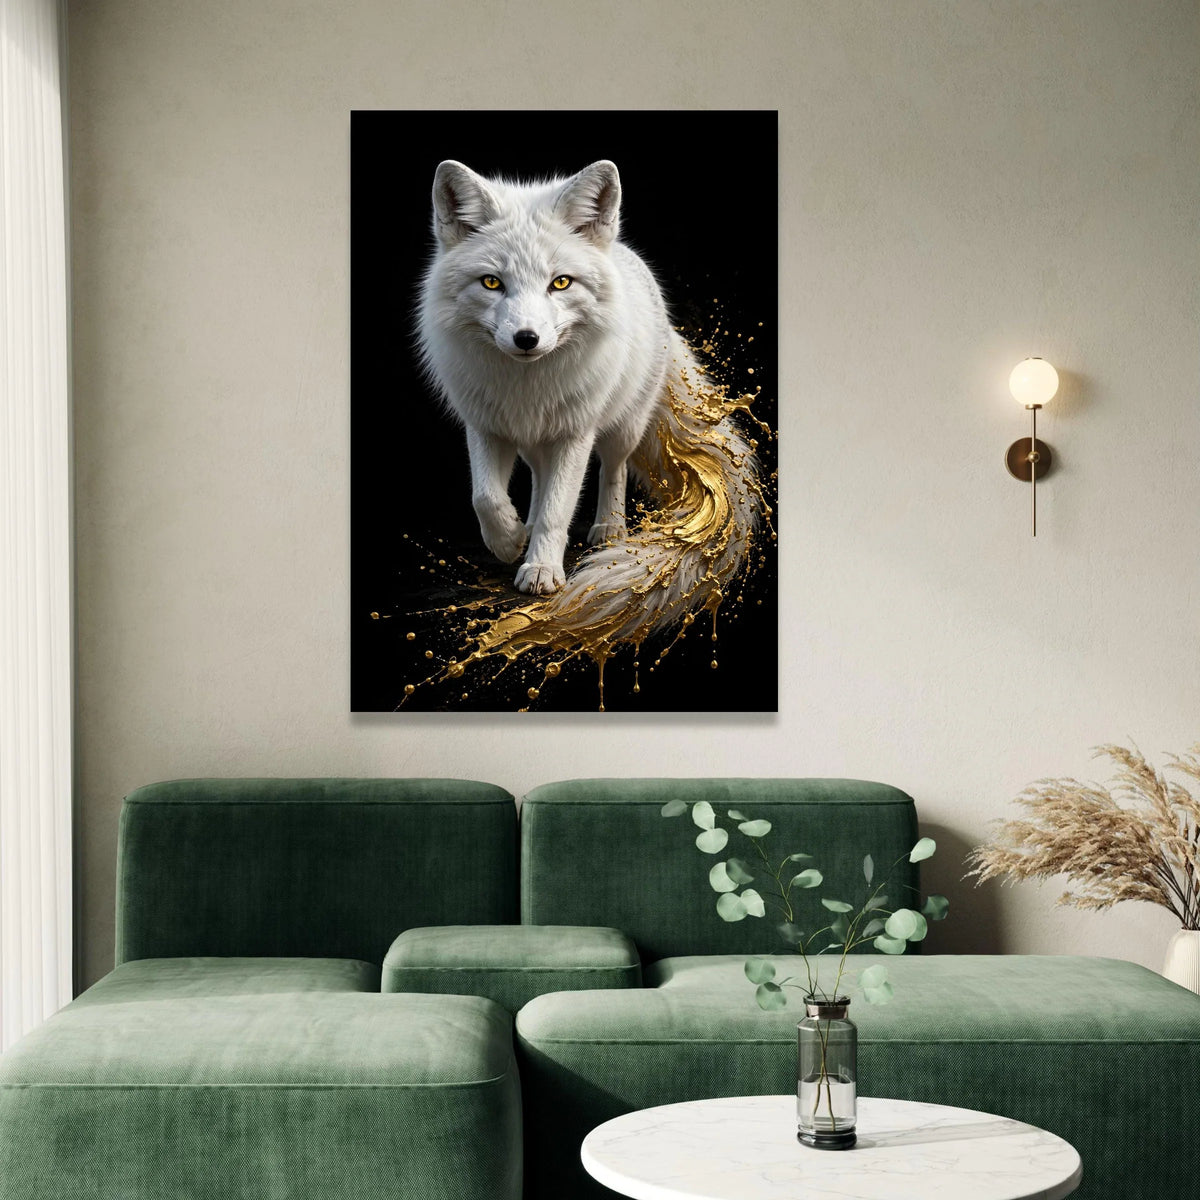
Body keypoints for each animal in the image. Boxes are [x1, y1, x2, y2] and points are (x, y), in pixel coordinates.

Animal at [417, 158, 759, 651]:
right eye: (491, 283)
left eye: (560, 283)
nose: (526, 339)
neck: (527, 387)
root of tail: (625, 253)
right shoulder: (485, 425)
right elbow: (485, 496)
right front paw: (508, 541)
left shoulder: (574, 433)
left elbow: (559, 508)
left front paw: (541, 569)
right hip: (534, 445)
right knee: (539, 481)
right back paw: (527, 526)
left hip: (622, 427)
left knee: (612, 469)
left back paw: (609, 528)